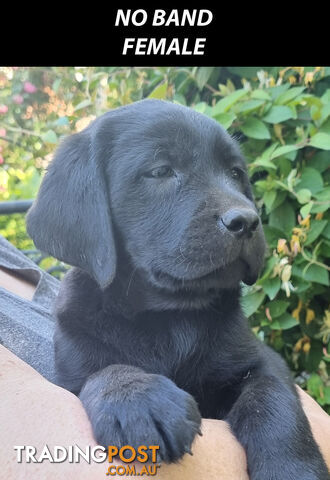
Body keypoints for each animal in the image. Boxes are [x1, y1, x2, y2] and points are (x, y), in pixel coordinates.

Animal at [27, 99, 328, 478]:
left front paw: (292, 468)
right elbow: (103, 371)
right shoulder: (71, 368)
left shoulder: (261, 361)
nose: (247, 221)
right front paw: (138, 399)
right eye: (160, 171)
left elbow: (272, 398)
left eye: (235, 173)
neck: (171, 315)